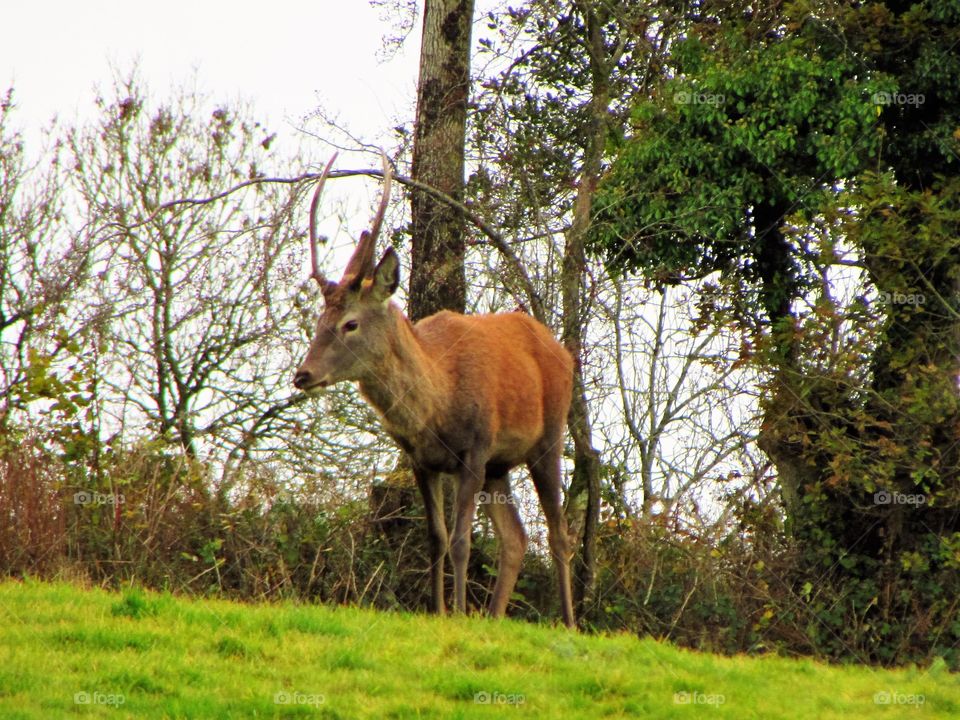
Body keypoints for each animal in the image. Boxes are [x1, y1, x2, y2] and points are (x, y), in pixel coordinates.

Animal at [293, 153, 576, 627]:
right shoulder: (422, 461)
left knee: (559, 532)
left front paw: (458, 614)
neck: (437, 406)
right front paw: (440, 611)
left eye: (351, 323)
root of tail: (563, 351)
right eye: (319, 321)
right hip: (501, 465)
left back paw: (571, 622)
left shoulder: (475, 450)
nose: (303, 374)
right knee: (516, 537)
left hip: (548, 437)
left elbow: (462, 541)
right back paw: (494, 616)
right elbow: (436, 538)